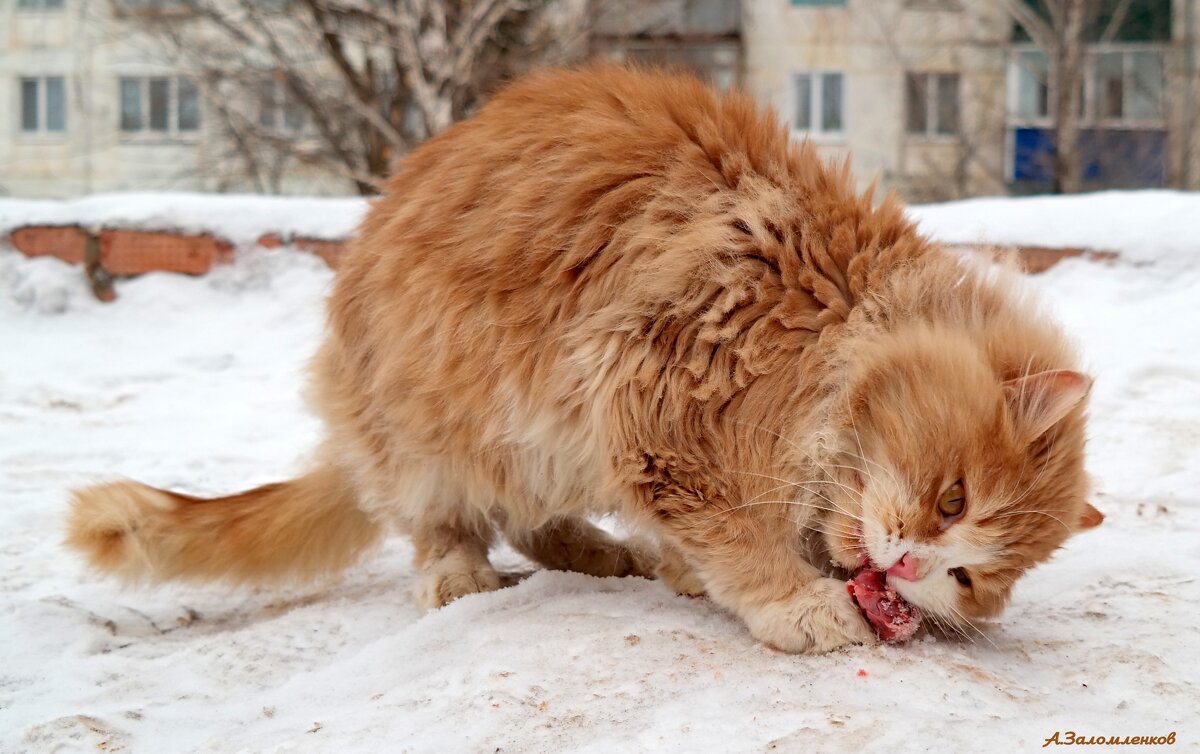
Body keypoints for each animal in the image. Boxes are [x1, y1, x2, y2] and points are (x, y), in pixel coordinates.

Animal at [63, 66, 1099, 653]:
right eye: (954, 499)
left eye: (967, 580)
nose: (918, 565)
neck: (827, 308)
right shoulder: (660, 393)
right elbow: (736, 534)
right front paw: (799, 606)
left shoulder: (638, 425)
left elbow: (704, 533)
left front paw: (688, 568)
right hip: (441, 423)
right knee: (444, 524)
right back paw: (462, 576)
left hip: (536, 440)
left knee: (532, 522)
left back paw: (608, 554)